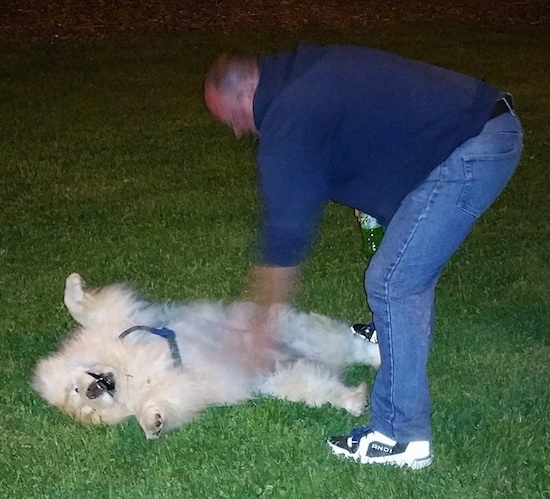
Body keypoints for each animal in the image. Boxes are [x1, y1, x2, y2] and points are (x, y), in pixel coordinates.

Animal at [33, 276, 380, 440]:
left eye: (74, 390)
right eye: (85, 409)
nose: (90, 391)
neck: (127, 372)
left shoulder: (120, 317)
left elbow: (81, 307)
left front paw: (74, 284)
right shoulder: (178, 388)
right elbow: (158, 405)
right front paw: (152, 424)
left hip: (296, 329)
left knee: (355, 347)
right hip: (289, 377)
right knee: (328, 383)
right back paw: (356, 399)